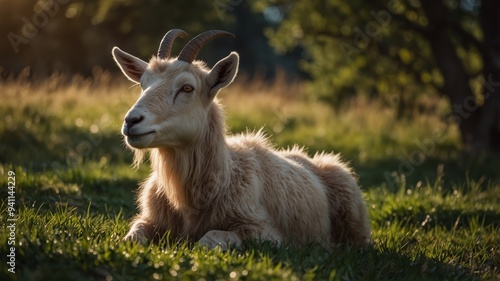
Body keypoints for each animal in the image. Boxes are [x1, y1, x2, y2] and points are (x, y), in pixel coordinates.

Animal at [113, 29, 372, 247]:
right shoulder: (149, 220)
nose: (131, 121)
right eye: (143, 84)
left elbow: (208, 239)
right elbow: (131, 237)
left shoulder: (265, 231)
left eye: (187, 88)